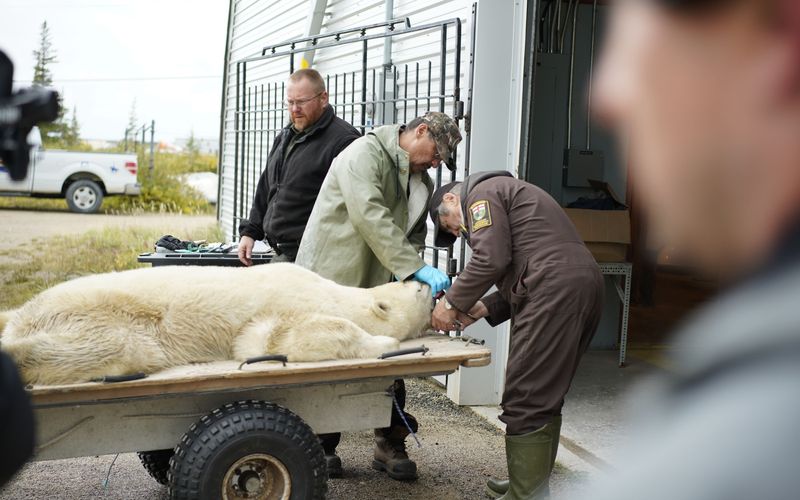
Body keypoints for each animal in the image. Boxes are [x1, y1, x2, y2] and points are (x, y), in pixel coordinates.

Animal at [0, 264, 432, 384]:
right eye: (415, 286)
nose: (433, 280)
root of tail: (24, 315)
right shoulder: (289, 304)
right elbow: (278, 339)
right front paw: (383, 343)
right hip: (103, 317)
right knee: (102, 348)